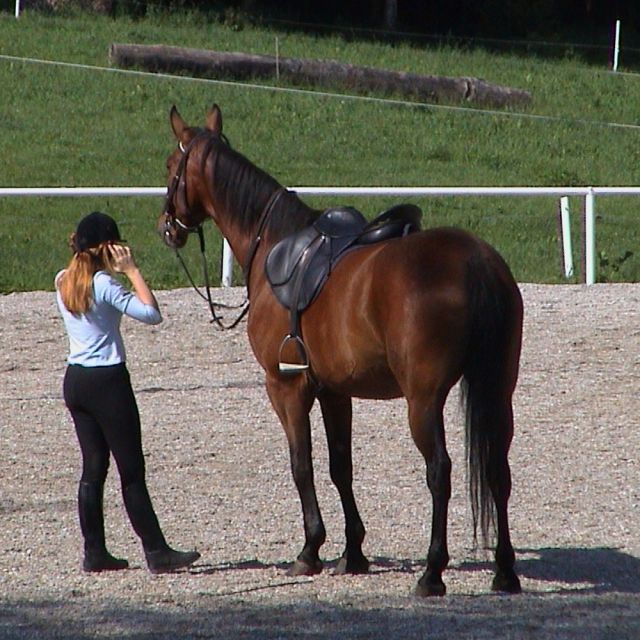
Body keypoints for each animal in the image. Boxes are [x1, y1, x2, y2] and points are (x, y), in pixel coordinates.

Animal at [158, 102, 524, 596]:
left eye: (171, 167)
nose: (167, 227)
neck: (273, 243)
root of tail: (476, 261)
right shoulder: (334, 391)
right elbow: (340, 467)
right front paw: (353, 553)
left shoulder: (286, 387)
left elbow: (302, 465)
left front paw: (310, 550)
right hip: (497, 389)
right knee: (497, 470)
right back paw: (504, 571)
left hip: (423, 400)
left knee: (440, 473)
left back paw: (432, 572)